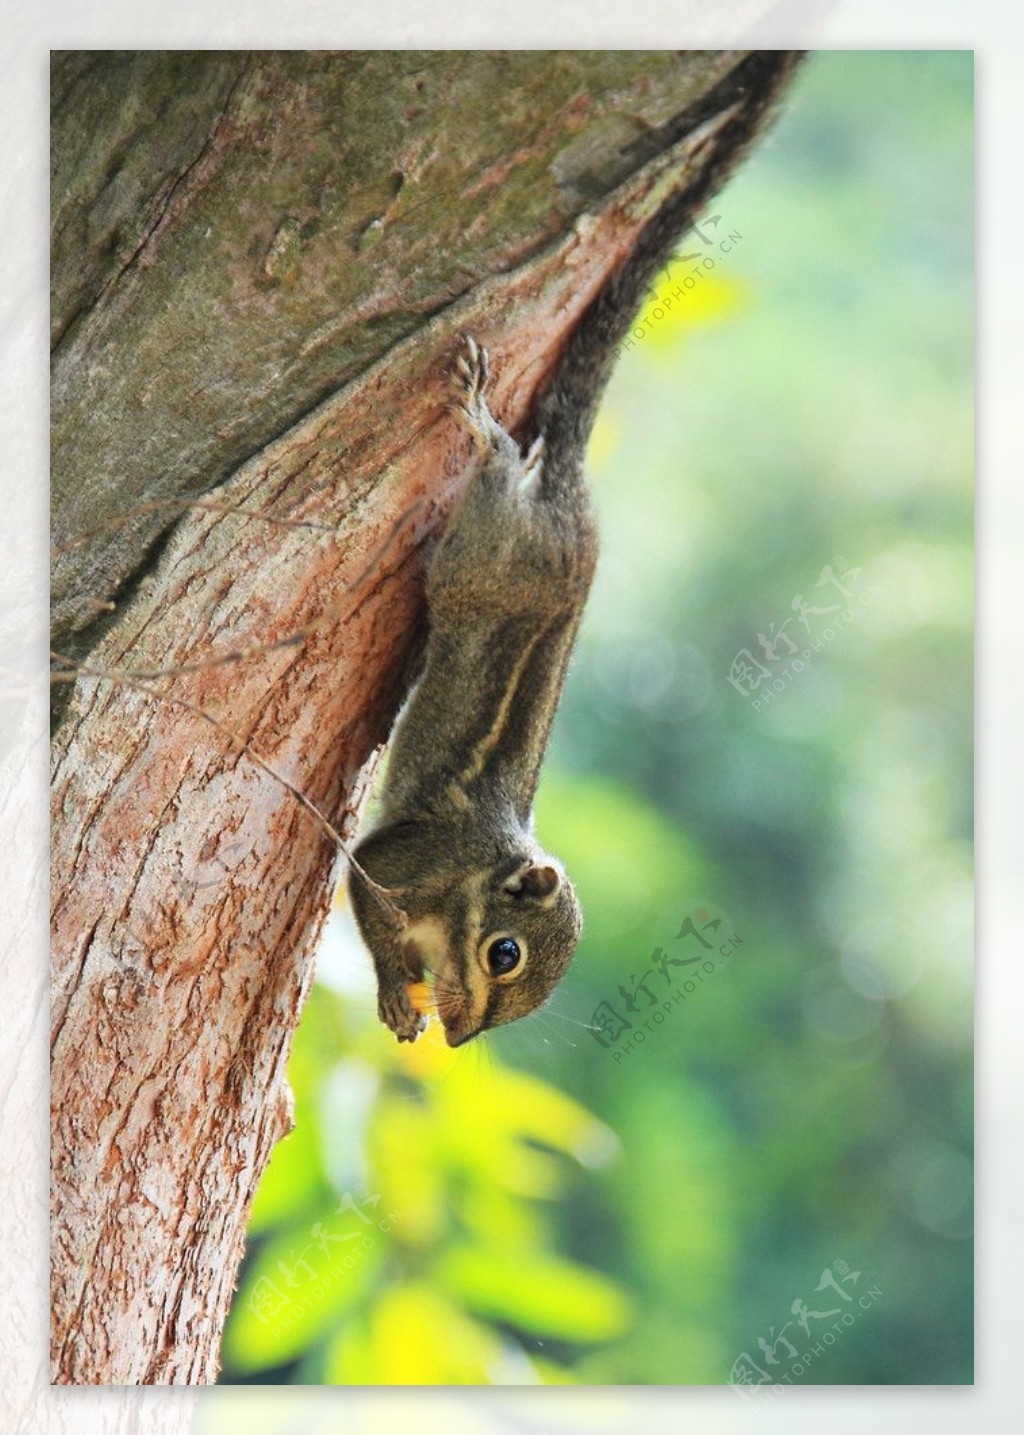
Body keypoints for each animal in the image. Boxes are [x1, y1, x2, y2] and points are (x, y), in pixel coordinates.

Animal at [345, 53, 797, 1044]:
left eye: (525, 990)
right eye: (505, 953)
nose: (463, 1037)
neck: (474, 879)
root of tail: (573, 507)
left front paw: (411, 993)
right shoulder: (404, 861)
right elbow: (364, 890)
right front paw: (399, 987)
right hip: (485, 548)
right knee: (498, 464)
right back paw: (484, 426)